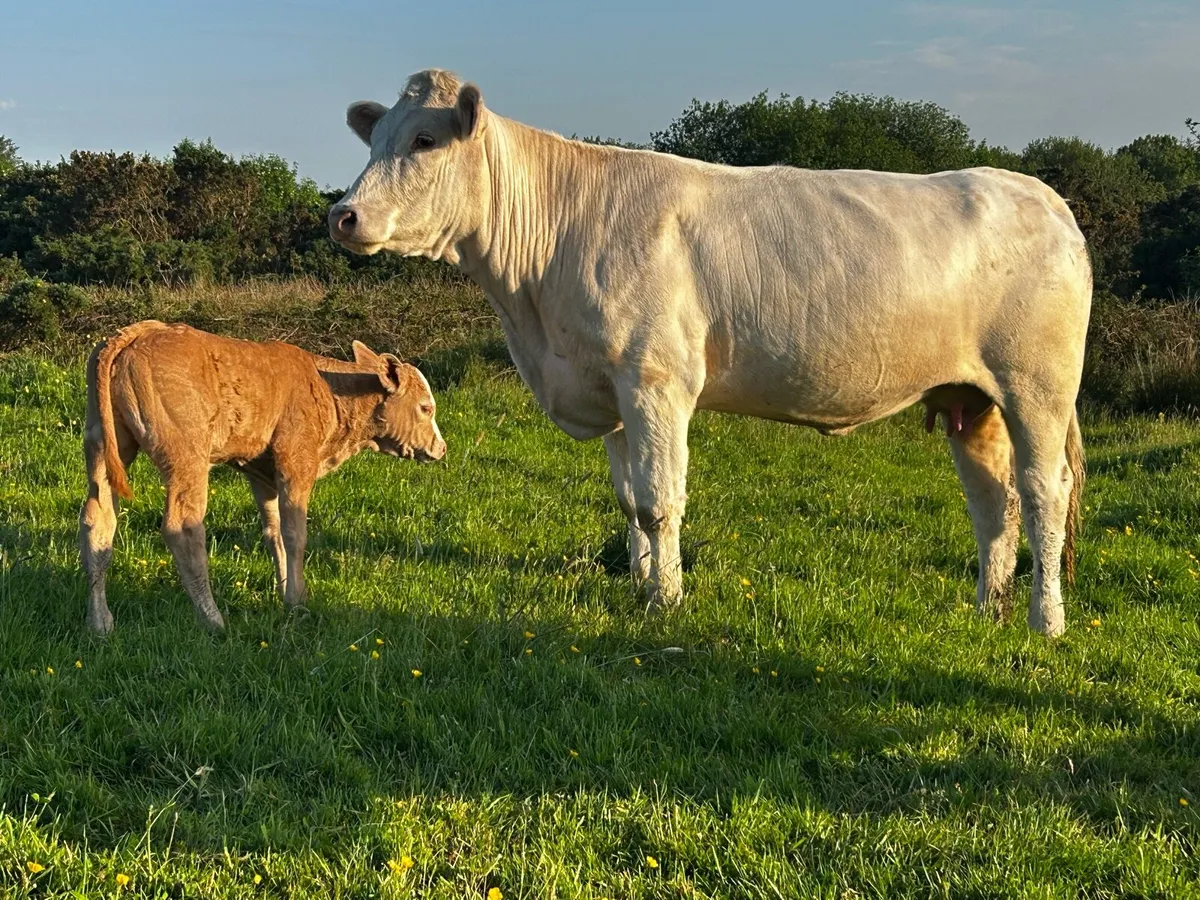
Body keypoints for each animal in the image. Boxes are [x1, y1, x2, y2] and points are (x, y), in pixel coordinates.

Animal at [79, 321, 446, 634]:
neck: (329, 389)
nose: (441, 448)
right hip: (187, 458)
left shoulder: (263, 474)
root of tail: (139, 332)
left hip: (103, 446)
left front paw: (284, 591)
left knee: (97, 520)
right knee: (182, 527)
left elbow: (274, 533)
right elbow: (295, 532)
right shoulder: (296, 463)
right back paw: (213, 618)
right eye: (426, 407)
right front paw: (296, 601)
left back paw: (100, 622)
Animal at [328, 69, 1091, 636]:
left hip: (1038, 386)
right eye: (375, 142)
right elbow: (629, 500)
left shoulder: (655, 378)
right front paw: (641, 584)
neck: (535, 316)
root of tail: (1040, 194)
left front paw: (667, 601)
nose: (343, 214)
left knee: (1043, 493)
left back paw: (1044, 622)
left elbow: (661, 499)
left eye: (425, 139)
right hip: (973, 398)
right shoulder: (607, 383)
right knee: (994, 502)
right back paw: (987, 611)